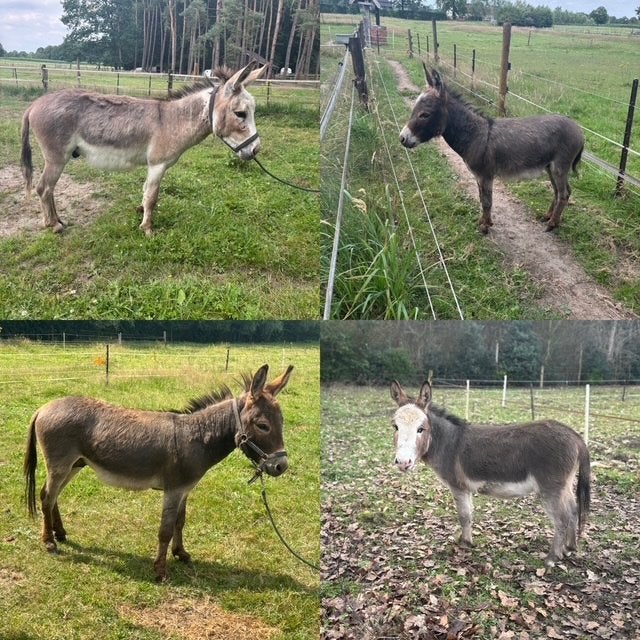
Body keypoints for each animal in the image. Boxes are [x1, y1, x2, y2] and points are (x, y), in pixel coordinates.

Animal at [20, 63, 266, 236]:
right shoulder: (158, 165)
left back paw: (57, 220)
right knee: (43, 188)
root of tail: (34, 104)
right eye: (241, 114)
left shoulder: (152, 166)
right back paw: (53, 225)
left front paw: (141, 214)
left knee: (49, 188)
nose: (255, 151)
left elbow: (146, 191)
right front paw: (147, 228)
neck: (172, 120)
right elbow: (152, 197)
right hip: (56, 157)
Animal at [24, 363, 292, 581]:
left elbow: (180, 523)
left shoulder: (184, 489)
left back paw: (60, 533)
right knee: (47, 497)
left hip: (75, 465)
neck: (198, 437)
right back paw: (49, 542)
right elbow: (165, 529)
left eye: (281, 423)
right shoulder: (173, 490)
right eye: (263, 426)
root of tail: (43, 407)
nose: (281, 467)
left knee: (51, 496)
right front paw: (161, 571)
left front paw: (181, 553)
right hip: (61, 465)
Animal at [390, 379, 590, 567]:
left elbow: (464, 516)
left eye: (420, 429)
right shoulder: (466, 489)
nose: (403, 463)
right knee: (573, 511)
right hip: (565, 486)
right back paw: (570, 547)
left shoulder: (458, 487)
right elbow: (469, 515)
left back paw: (552, 558)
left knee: (561, 520)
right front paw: (466, 541)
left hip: (550, 490)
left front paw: (465, 544)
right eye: (395, 427)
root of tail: (575, 436)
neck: (448, 443)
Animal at [400, 67, 584, 234]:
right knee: (559, 191)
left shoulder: (486, 175)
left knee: (564, 194)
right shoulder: (478, 176)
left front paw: (485, 226)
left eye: (424, 115)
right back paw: (548, 217)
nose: (402, 138)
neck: (475, 135)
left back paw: (552, 224)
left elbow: (487, 201)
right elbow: (482, 199)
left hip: (559, 166)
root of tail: (578, 129)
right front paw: (482, 221)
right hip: (550, 167)